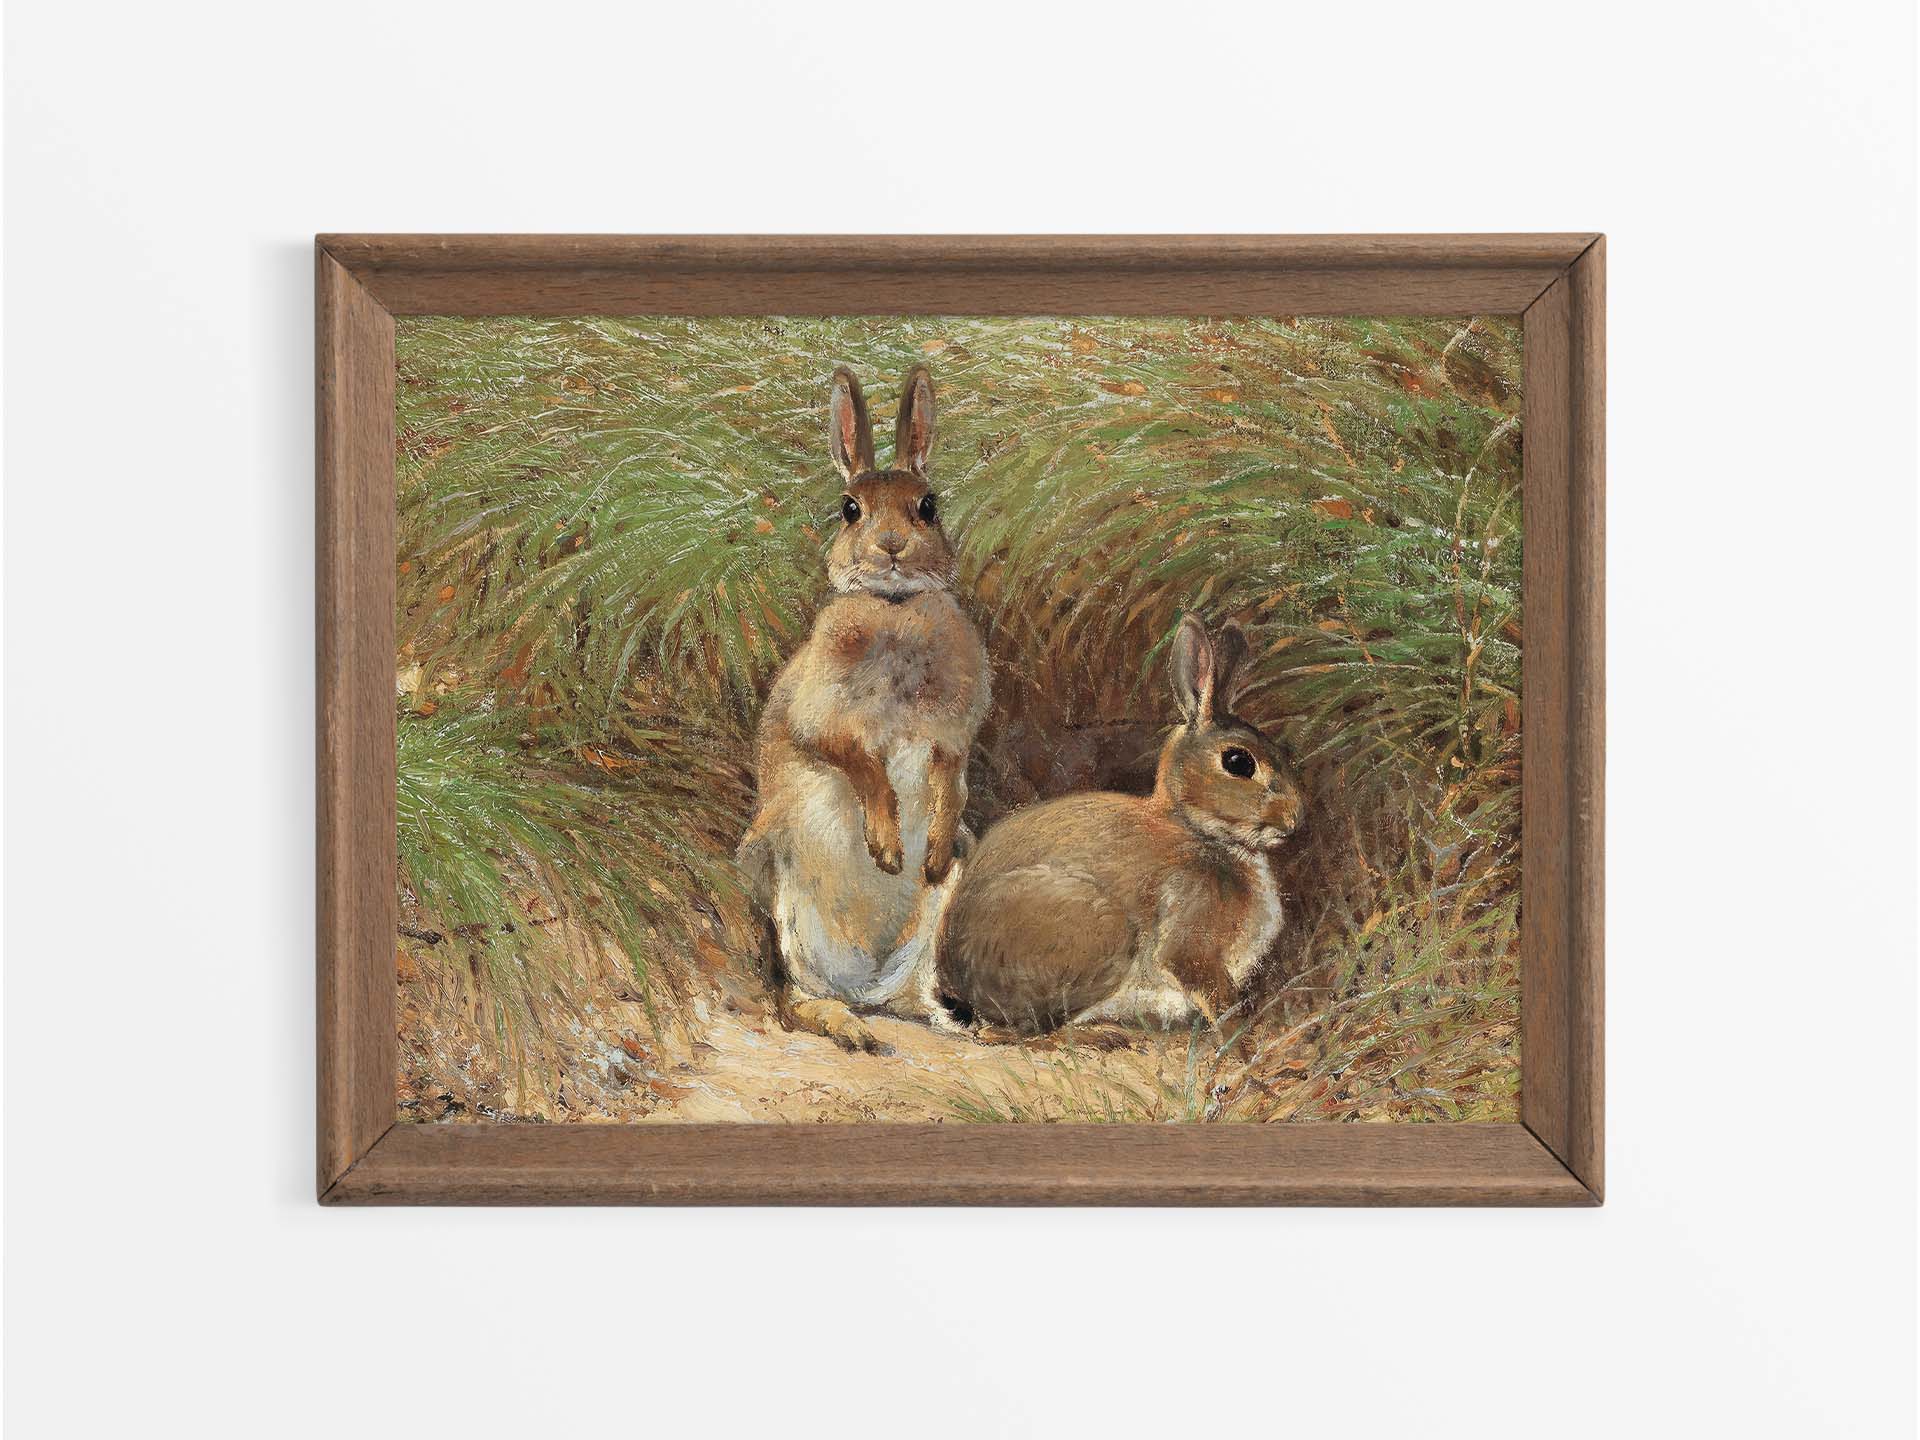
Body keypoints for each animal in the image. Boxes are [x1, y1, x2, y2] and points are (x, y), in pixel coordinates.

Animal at [735, 366, 990, 1053]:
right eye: (850, 509)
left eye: (929, 505)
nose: (893, 546)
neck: (894, 609)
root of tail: (867, 983)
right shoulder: (821, 719)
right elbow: (860, 762)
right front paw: (887, 849)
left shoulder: (952, 737)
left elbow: (950, 780)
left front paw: (925, 855)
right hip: (781, 890)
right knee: (793, 996)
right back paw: (848, 1027)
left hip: (934, 918)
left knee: (916, 993)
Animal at [936, 615, 1303, 1042]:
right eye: (1239, 762)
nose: (1295, 819)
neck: (1197, 830)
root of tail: (956, 981)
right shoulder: (1190, 941)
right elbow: (1213, 993)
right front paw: (1242, 1034)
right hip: (1102, 935)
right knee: (1027, 1031)